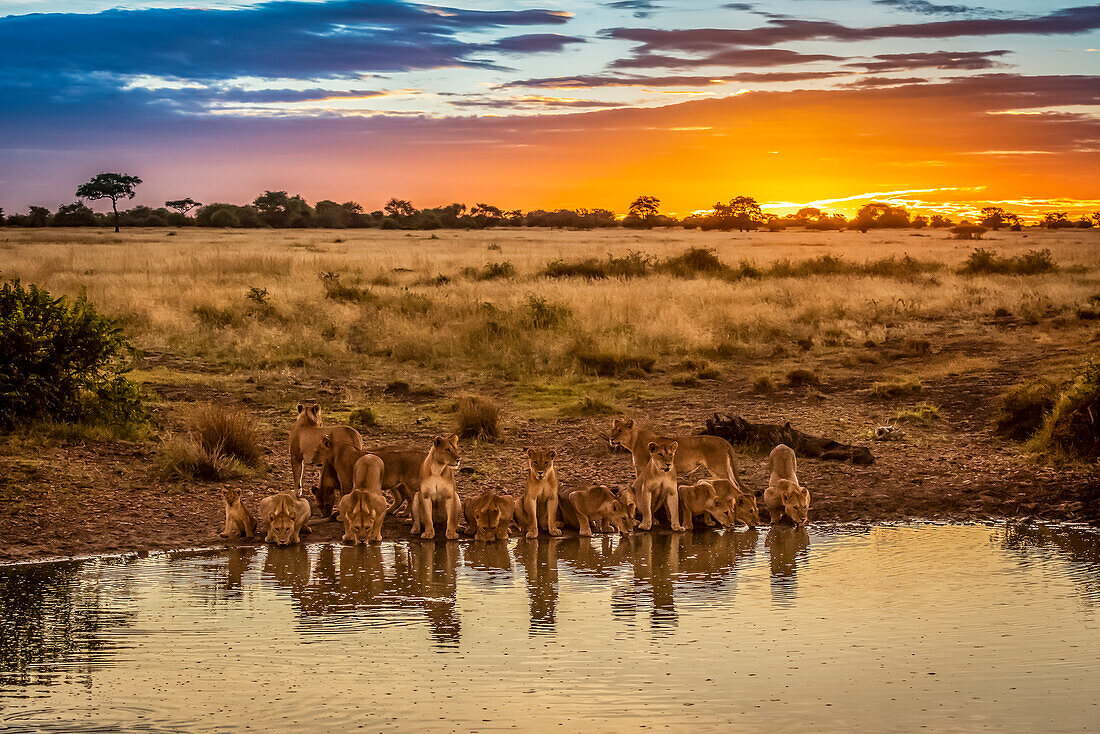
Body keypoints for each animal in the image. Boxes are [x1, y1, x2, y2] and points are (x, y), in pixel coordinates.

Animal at [607, 418, 752, 493]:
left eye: (620, 431)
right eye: (612, 430)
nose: (611, 439)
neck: (634, 440)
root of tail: (725, 441)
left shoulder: (641, 468)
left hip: (718, 468)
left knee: (734, 485)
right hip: (725, 468)